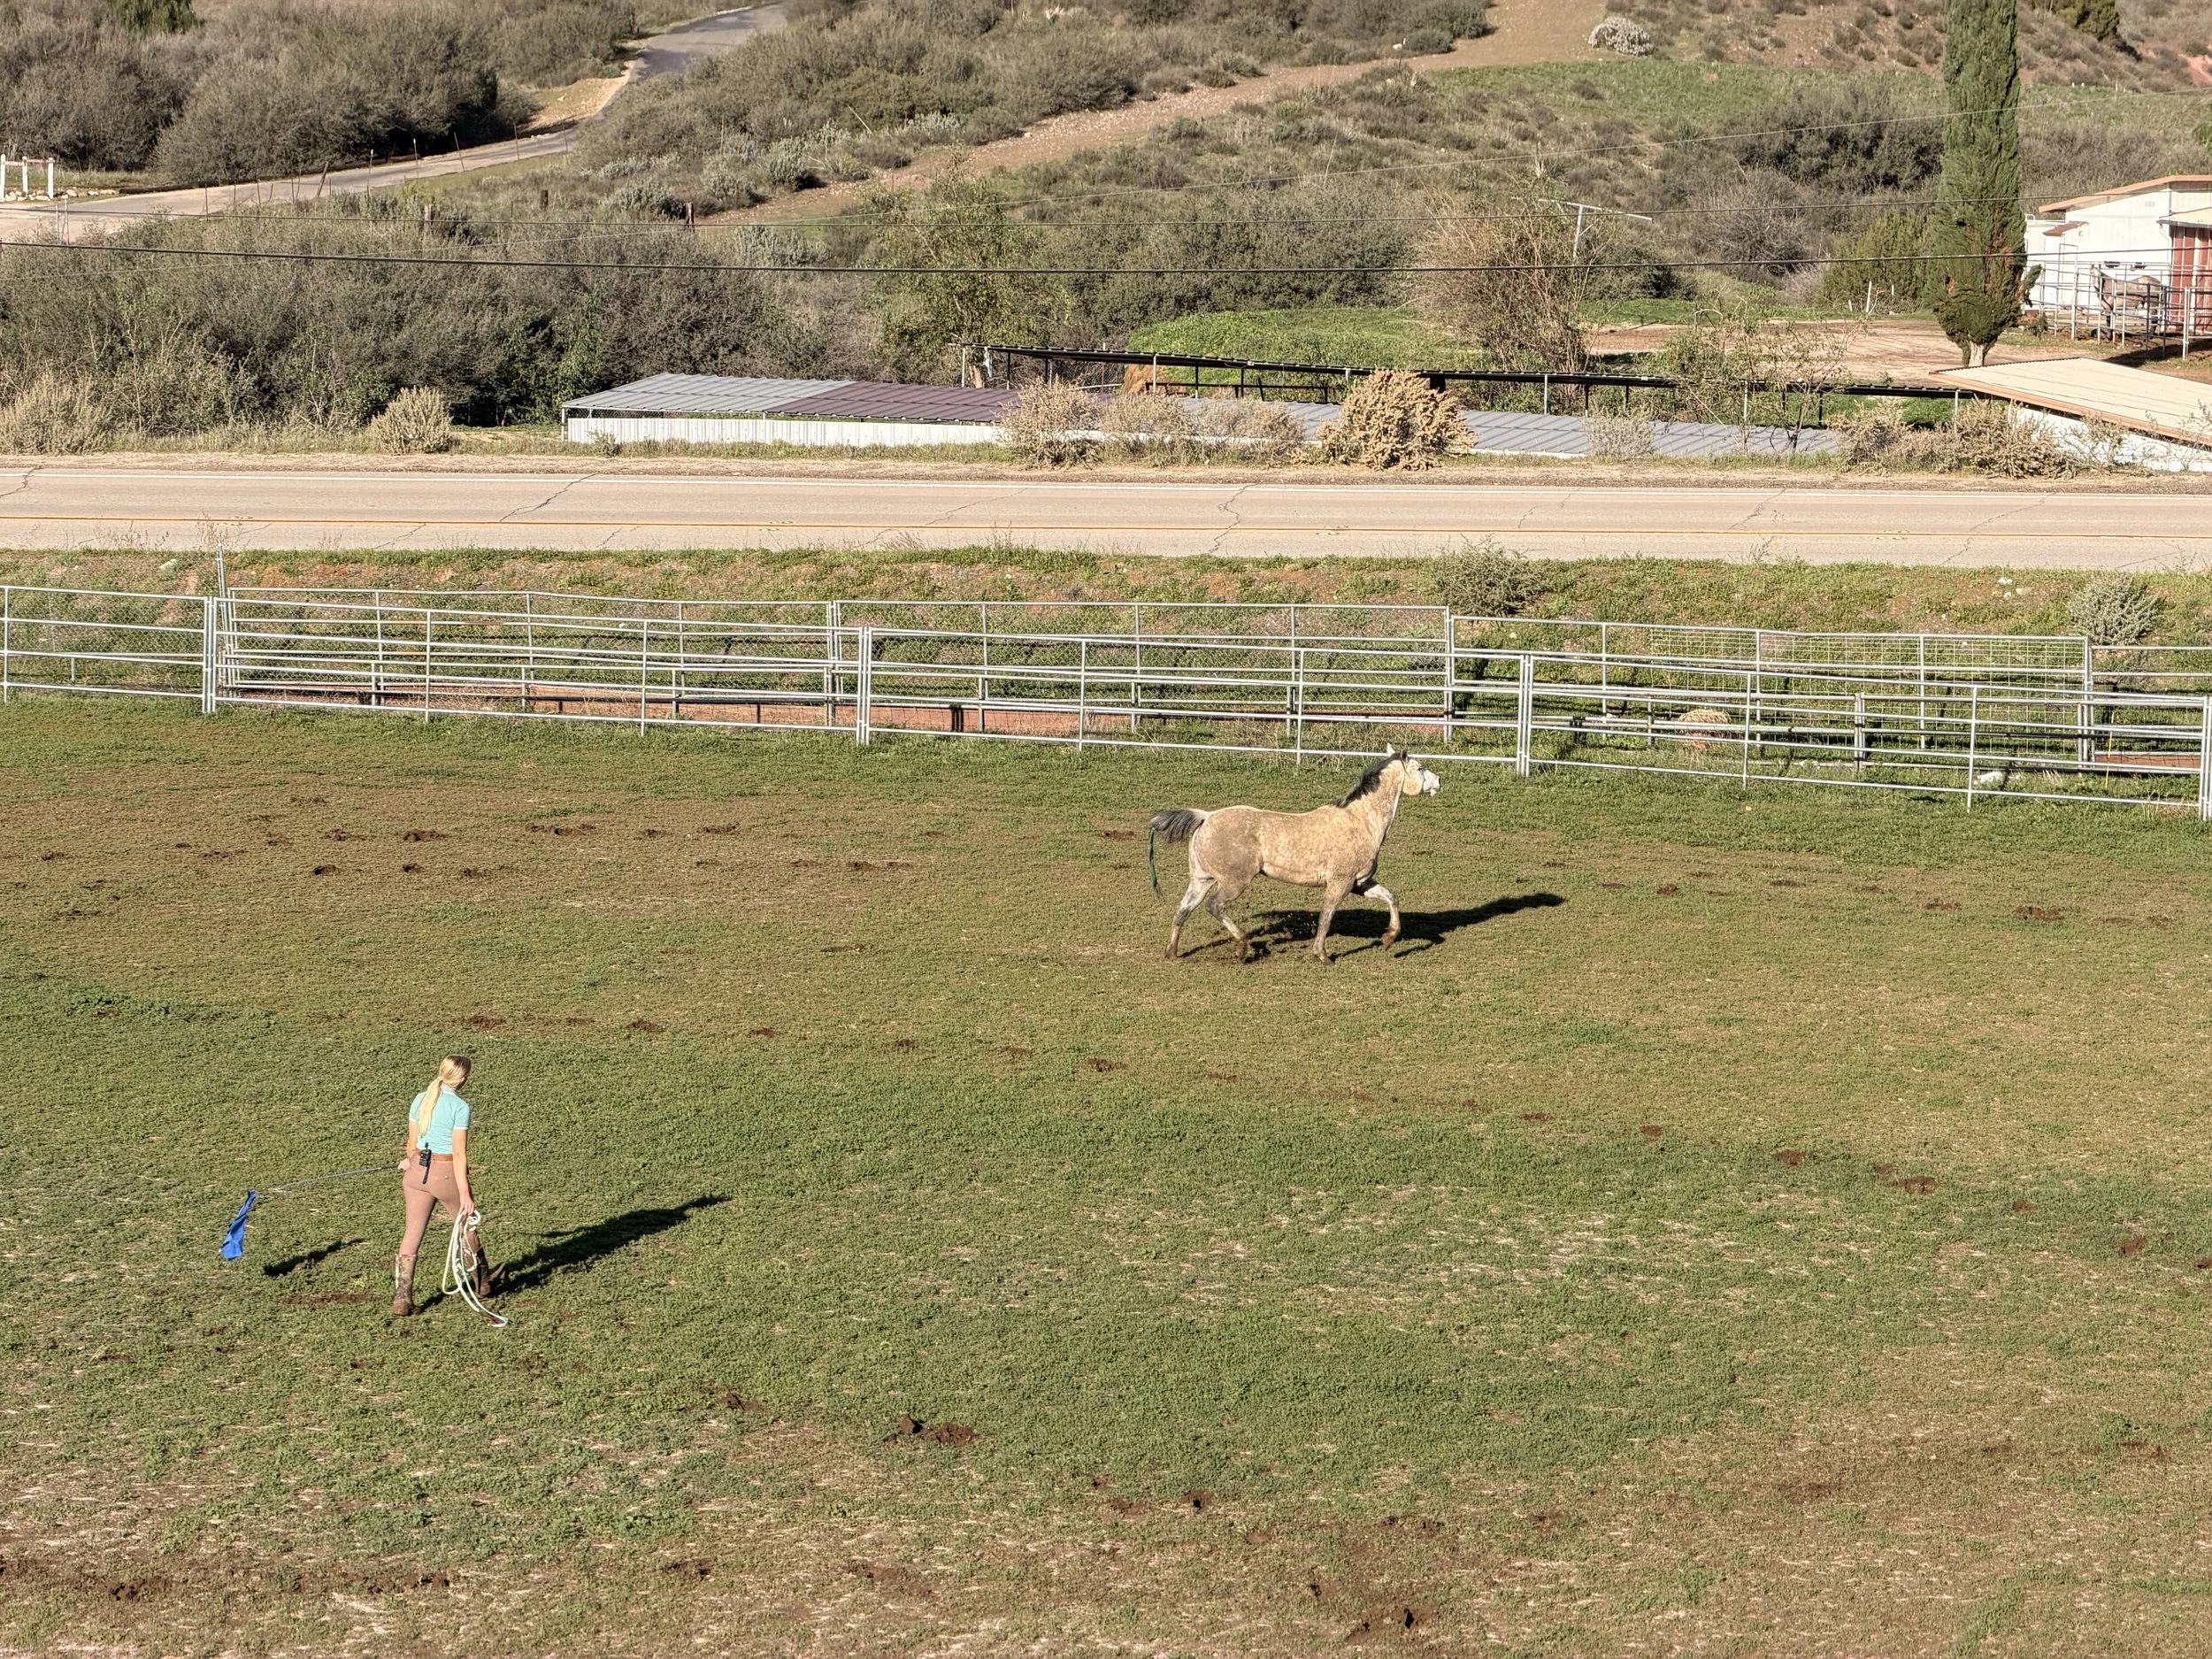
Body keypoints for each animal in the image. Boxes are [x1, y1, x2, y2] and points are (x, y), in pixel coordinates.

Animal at [1147, 749, 1441, 963]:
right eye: (1419, 768)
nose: (1439, 782)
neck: (1361, 821)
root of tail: (1206, 817)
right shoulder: (1341, 882)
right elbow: (1326, 917)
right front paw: (1322, 955)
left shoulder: (1361, 883)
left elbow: (1391, 897)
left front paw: (1389, 938)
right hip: (1235, 881)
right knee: (1214, 907)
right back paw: (1242, 948)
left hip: (1201, 879)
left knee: (1182, 911)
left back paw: (1172, 954)